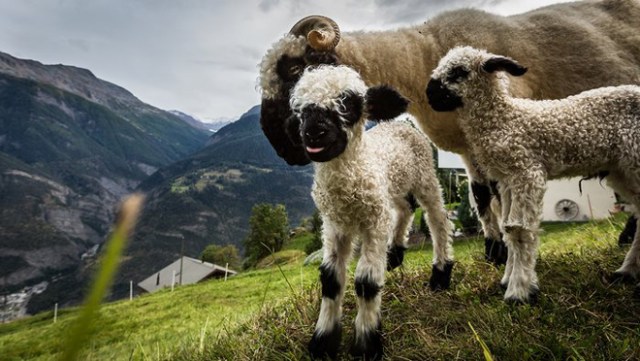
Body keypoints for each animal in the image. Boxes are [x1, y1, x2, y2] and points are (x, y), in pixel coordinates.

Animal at [290, 65, 456, 360]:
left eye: (347, 104)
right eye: (301, 110)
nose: (314, 133)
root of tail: (398, 123)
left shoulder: (373, 221)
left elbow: (366, 283)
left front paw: (366, 343)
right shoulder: (334, 225)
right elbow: (330, 280)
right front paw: (323, 341)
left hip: (424, 176)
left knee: (437, 219)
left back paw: (440, 272)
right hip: (392, 187)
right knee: (405, 209)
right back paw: (395, 253)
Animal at [424, 45, 640, 304]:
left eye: (459, 72)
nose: (429, 94)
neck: (505, 119)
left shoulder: (527, 172)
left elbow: (519, 231)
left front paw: (519, 291)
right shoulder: (506, 181)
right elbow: (507, 229)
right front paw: (507, 280)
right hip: (621, 170)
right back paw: (626, 271)